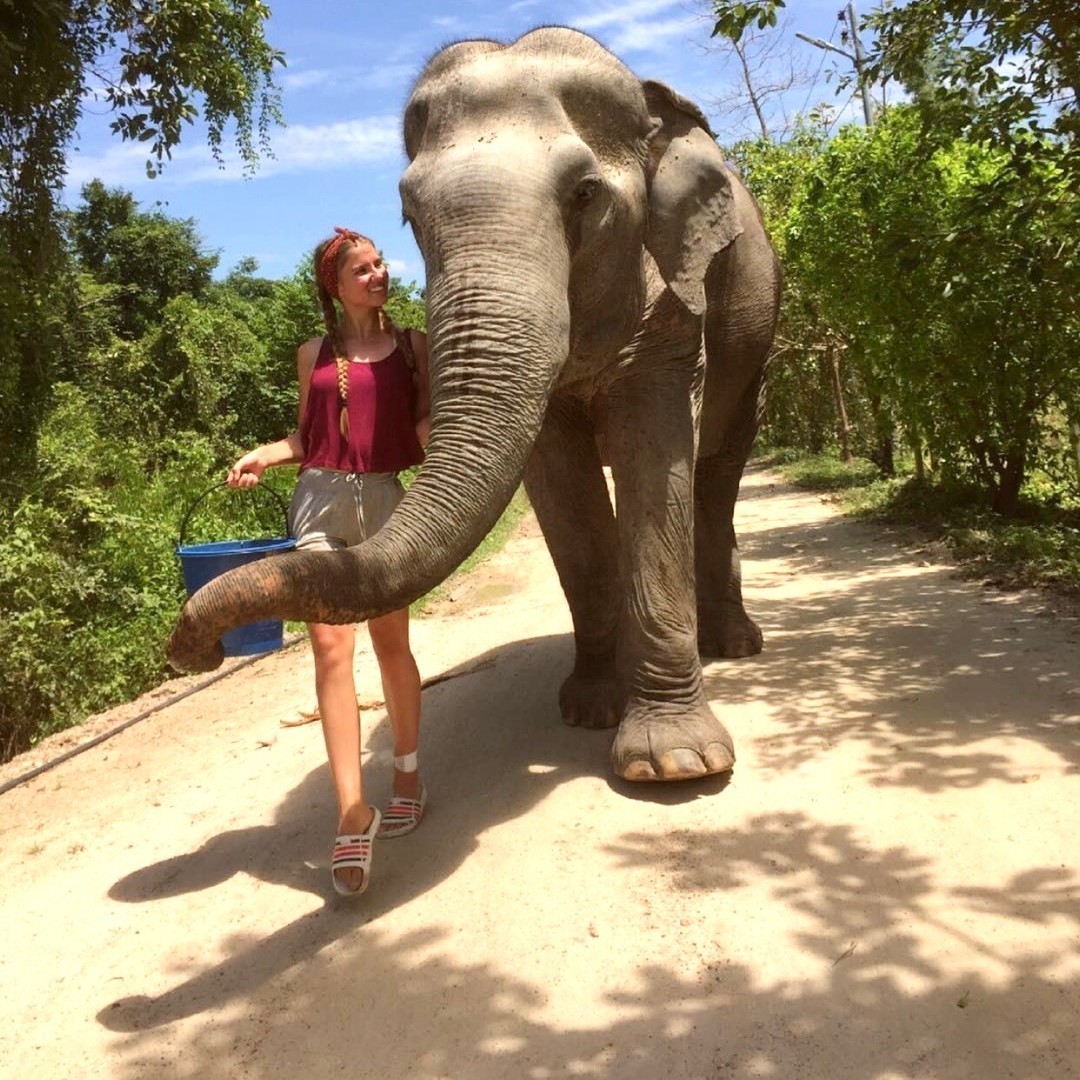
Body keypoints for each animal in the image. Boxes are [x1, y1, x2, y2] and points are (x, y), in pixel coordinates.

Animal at [168, 26, 781, 782]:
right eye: (408, 214)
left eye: (584, 195)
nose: (194, 652)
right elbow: (561, 485)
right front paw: (590, 708)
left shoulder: (670, 294)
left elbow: (654, 453)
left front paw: (673, 765)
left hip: (756, 335)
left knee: (716, 472)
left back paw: (733, 644)